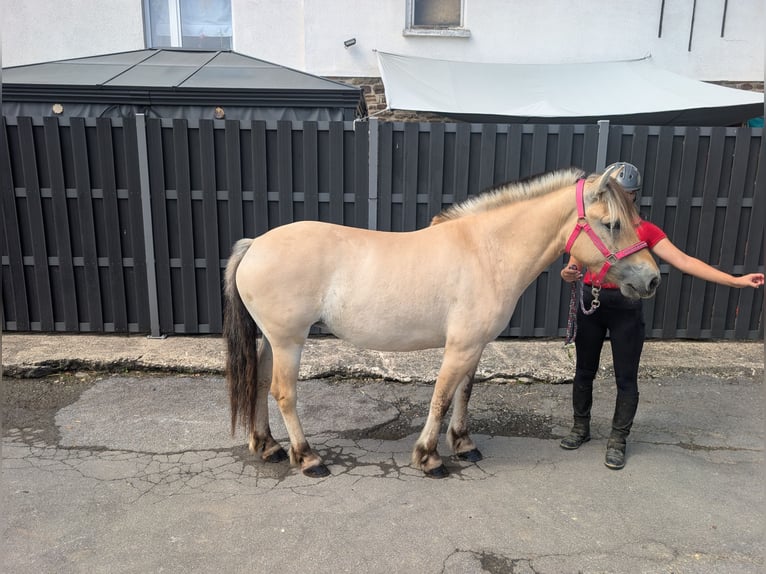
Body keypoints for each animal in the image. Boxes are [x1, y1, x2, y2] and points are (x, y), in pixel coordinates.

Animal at [223, 166, 661, 478]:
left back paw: (268, 447)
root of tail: (255, 244)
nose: (652, 279)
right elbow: (442, 397)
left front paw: (464, 445)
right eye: (612, 223)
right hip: (289, 341)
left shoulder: (475, 346)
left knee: (259, 382)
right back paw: (308, 458)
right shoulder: (460, 346)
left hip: (272, 340)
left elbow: (464, 393)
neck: (488, 251)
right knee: (283, 392)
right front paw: (429, 458)